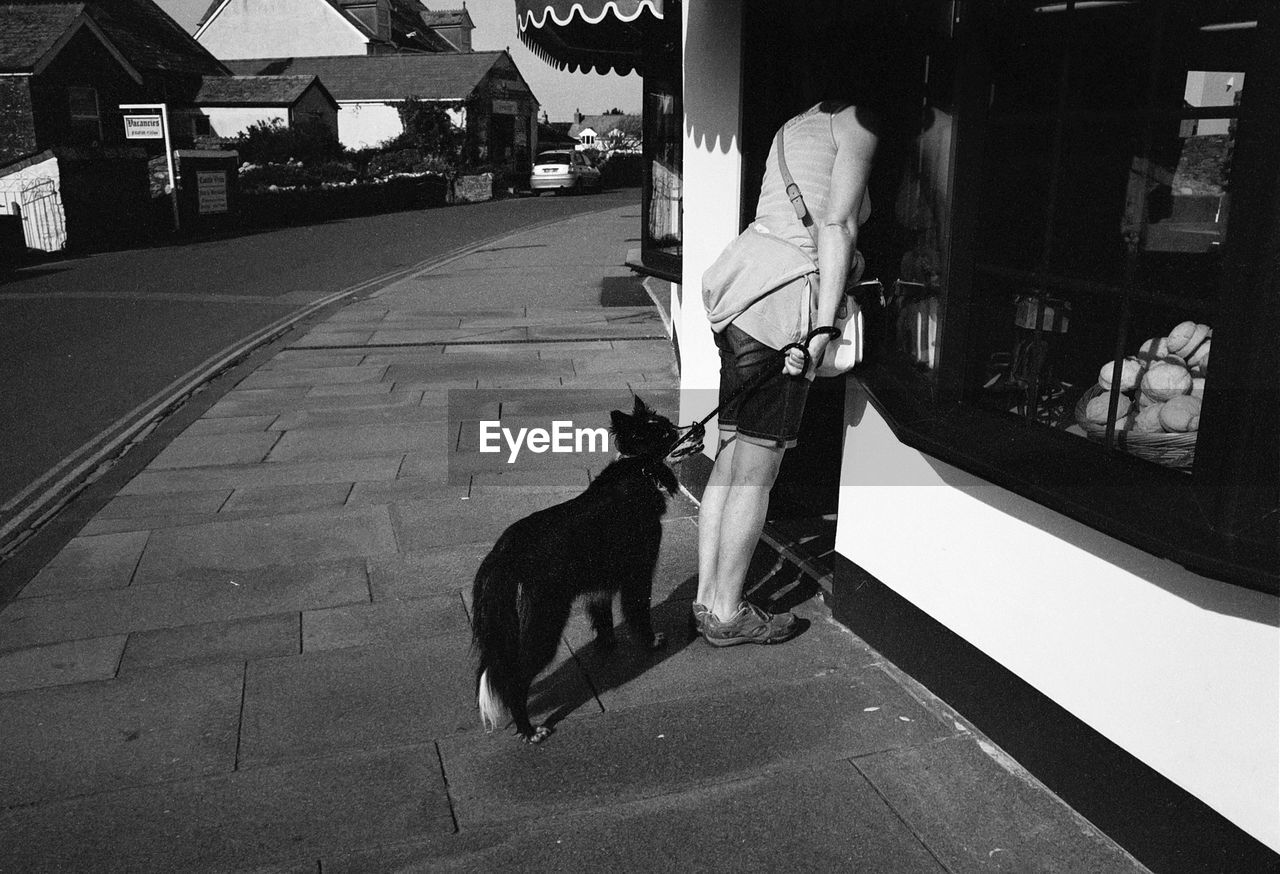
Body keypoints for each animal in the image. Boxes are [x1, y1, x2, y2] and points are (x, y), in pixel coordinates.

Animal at [471, 399, 686, 747]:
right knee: (516, 681)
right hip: (544, 624)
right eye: (666, 434)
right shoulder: (639, 572)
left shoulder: (600, 586)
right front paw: (651, 641)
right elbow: (638, 613)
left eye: (670, 425)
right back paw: (531, 731)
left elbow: (603, 619)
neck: (639, 469)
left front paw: (608, 646)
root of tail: (504, 554)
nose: (698, 427)